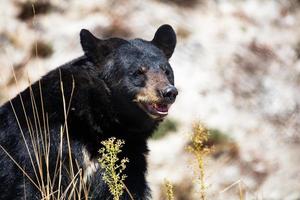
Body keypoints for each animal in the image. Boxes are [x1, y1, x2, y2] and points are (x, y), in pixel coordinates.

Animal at [0, 24, 178, 199]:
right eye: (138, 72)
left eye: (166, 71)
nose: (169, 92)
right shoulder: (44, 147)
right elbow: (31, 187)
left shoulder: (129, 155)